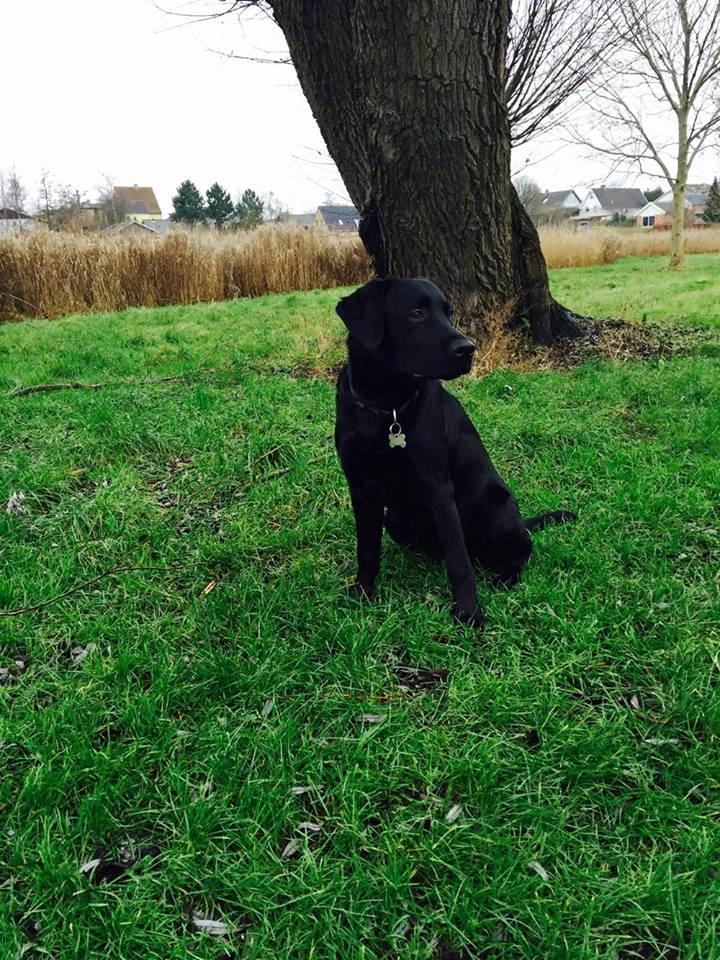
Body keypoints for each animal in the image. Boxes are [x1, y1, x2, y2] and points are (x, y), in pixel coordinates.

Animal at [334, 276, 576, 632]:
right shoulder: (361, 488)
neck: (386, 409)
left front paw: (468, 612)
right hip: (395, 518)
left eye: (448, 313)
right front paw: (362, 592)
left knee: (517, 550)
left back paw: (505, 576)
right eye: (416, 313)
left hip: (497, 512)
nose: (467, 349)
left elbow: (459, 563)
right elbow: (367, 549)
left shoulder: (438, 488)